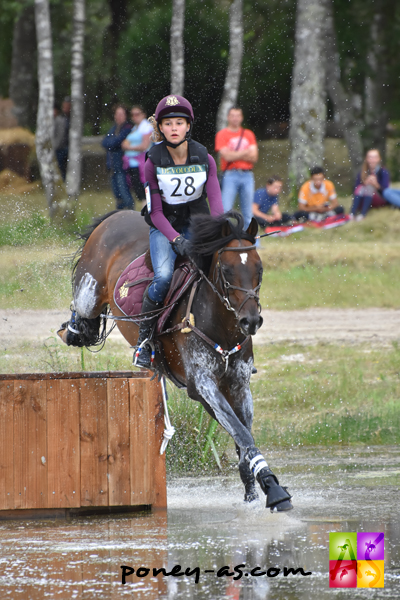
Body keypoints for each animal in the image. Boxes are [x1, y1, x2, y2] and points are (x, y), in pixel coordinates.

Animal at [57, 207, 292, 510]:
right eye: (226, 270)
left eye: (258, 269)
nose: (250, 321)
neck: (222, 325)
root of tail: (117, 215)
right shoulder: (203, 385)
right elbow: (241, 434)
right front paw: (273, 490)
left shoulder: (237, 386)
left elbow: (243, 437)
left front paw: (255, 493)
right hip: (90, 292)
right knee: (82, 313)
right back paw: (72, 330)